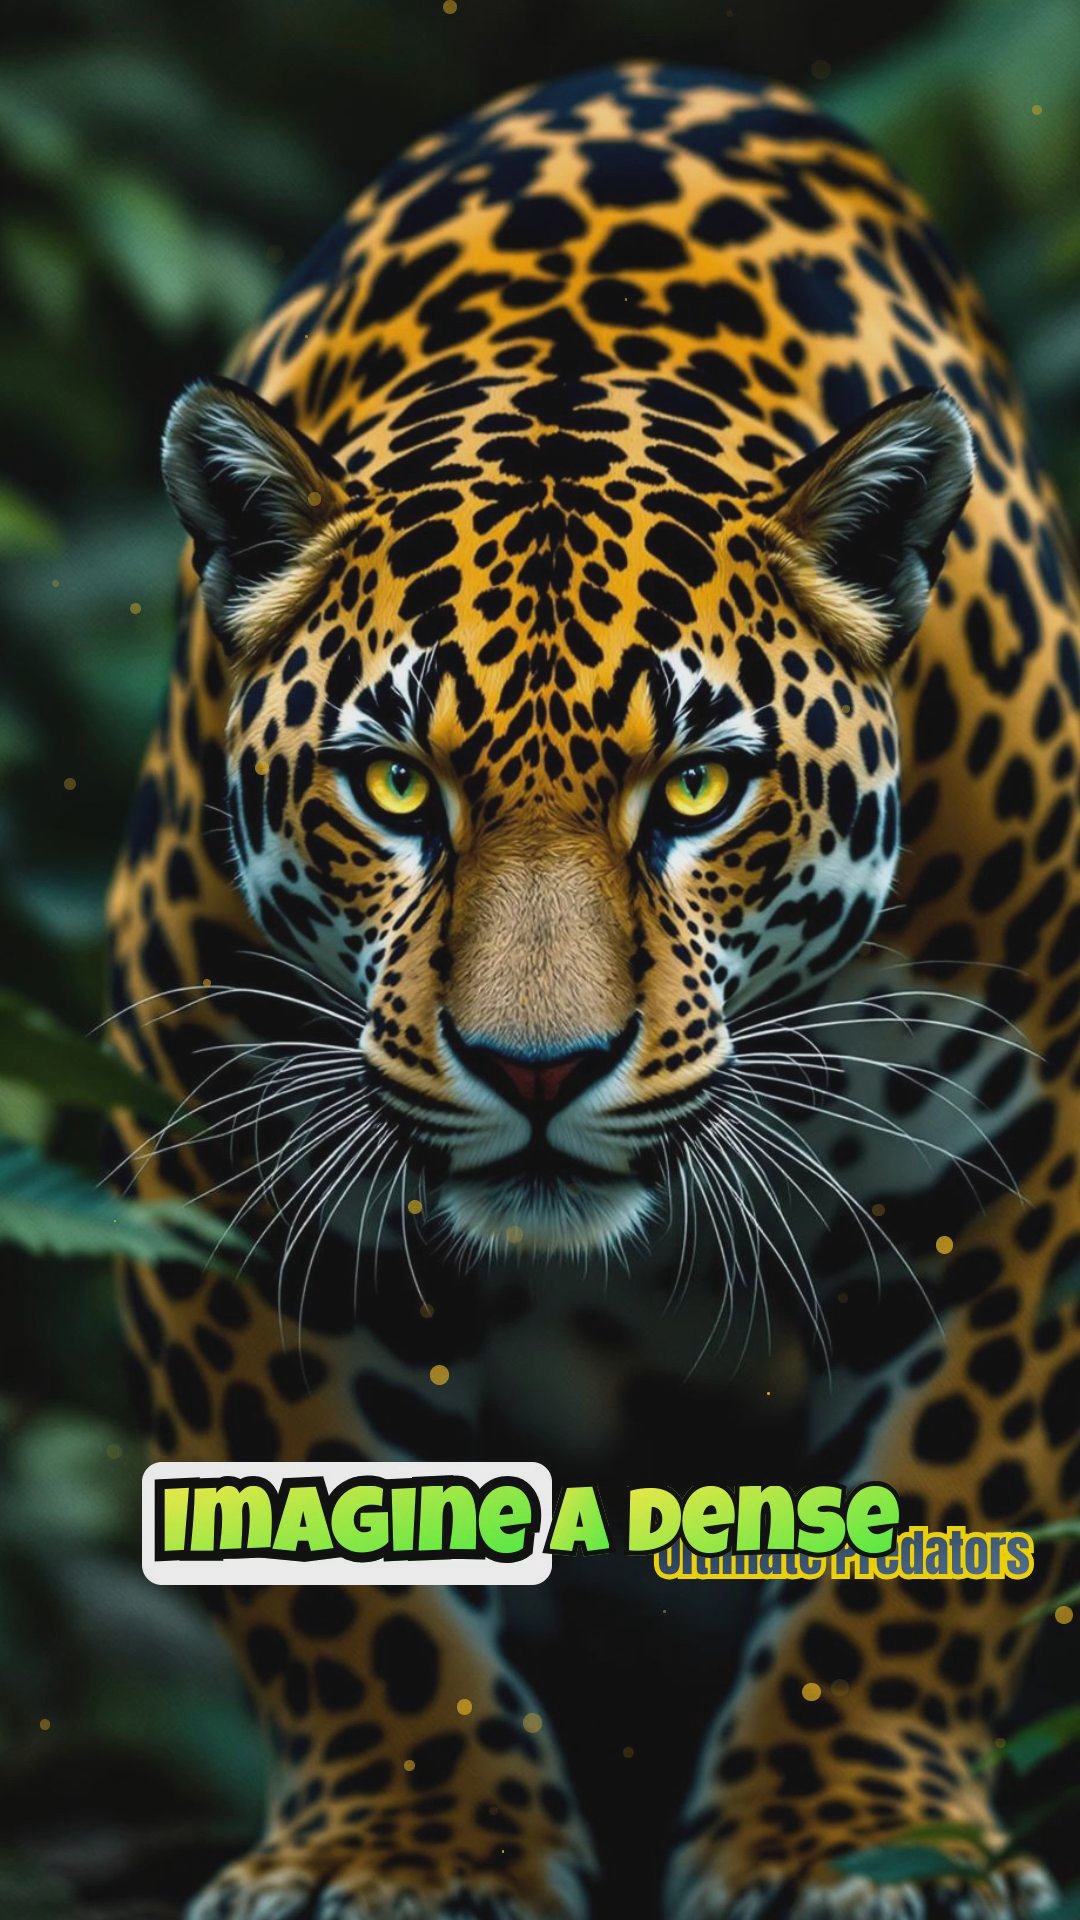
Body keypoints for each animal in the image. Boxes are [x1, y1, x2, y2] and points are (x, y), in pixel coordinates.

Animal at [105, 60, 1080, 1920]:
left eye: (696, 789)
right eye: (393, 788)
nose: (537, 1069)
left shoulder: (1026, 1163)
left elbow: (935, 1527)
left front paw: (851, 1835)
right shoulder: (218, 1154)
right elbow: (335, 1578)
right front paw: (406, 1848)